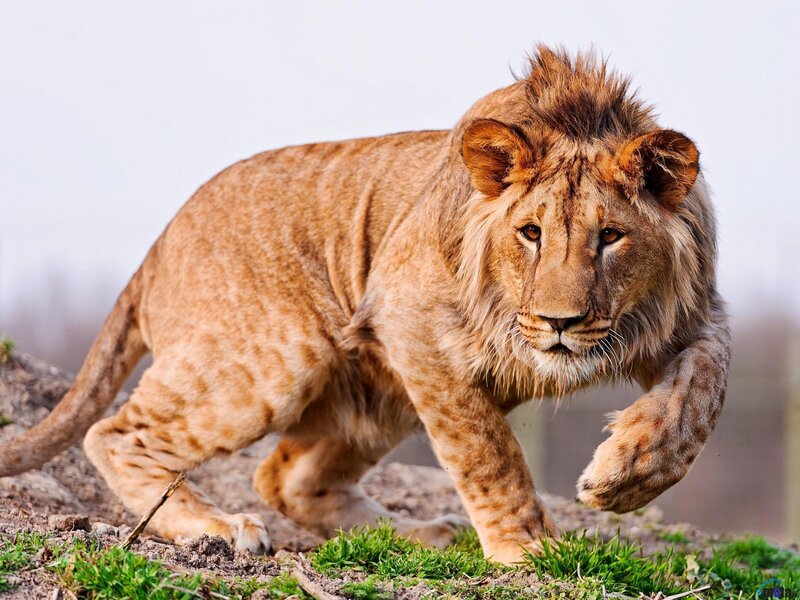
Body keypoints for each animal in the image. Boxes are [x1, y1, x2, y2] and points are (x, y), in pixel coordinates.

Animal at [0, 46, 730, 564]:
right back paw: (219, 528)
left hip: (377, 395)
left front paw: (626, 475)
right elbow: (486, 449)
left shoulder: (693, 313)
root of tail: (157, 245)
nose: (560, 323)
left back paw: (419, 535)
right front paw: (528, 549)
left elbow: (703, 393)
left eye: (611, 237)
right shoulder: (412, 320)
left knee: (285, 478)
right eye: (531, 233)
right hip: (278, 359)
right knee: (116, 433)